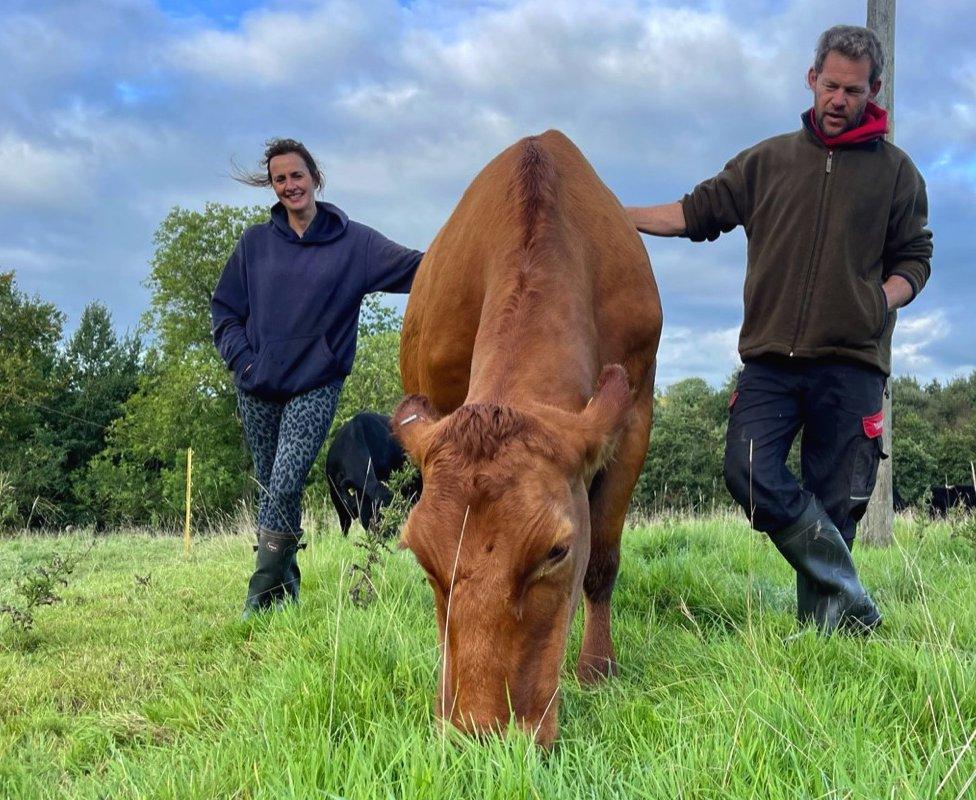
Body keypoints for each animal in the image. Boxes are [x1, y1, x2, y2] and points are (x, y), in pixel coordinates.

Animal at [392, 128, 660, 748]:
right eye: (419, 554)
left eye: (556, 550)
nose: (480, 731)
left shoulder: (636, 413)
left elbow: (603, 558)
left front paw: (597, 670)